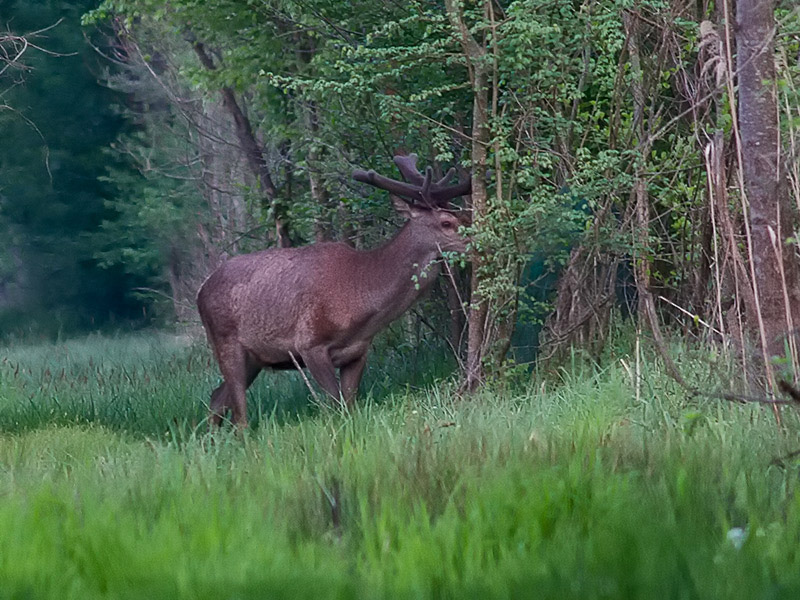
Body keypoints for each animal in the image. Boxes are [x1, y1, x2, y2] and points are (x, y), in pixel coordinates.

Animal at [198, 155, 472, 426]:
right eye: (446, 222)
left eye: (460, 213)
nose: (477, 240)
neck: (360, 299)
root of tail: (201, 292)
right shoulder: (309, 343)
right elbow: (335, 405)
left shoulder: (357, 353)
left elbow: (349, 406)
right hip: (224, 340)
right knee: (239, 416)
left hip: (254, 358)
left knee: (216, 399)